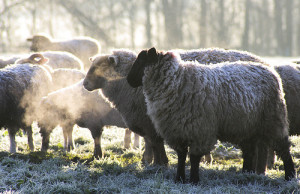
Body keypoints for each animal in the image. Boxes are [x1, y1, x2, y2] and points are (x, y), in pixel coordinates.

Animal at [126, 47, 296, 183]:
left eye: (142, 61)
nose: (128, 81)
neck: (177, 81)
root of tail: (270, 70)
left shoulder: (199, 130)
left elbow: (194, 157)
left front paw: (194, 180)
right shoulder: (178, 130)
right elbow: (181, 156)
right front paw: (179, 178)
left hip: (273, 120)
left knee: (283, 148)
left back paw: (290, 175)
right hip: (246, 125)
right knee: (249, 151)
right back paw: (246, 174)